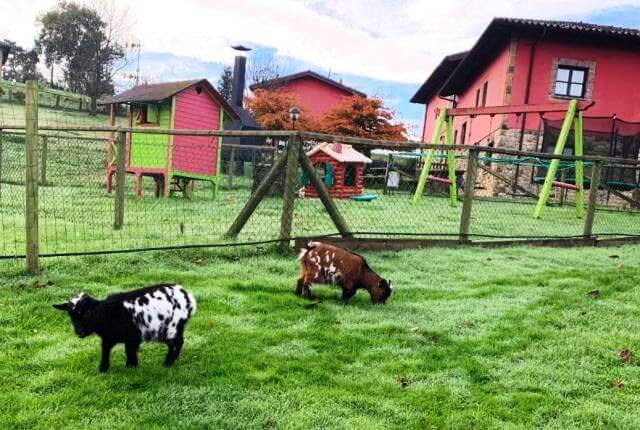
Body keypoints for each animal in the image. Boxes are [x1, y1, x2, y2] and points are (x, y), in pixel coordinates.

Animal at [53, 284, 195, 372]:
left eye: (88, 312)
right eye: (70, 315)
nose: (79, 332)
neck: (106, 314)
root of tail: (188, 298)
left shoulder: (133, 337)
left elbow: (129, 351)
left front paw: (131, 367)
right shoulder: (107, 338)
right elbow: (105, 352)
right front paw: (103, 370)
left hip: (173, 326)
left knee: (177, 342)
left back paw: (168, 363)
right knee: (176, 342)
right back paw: (172, 360)